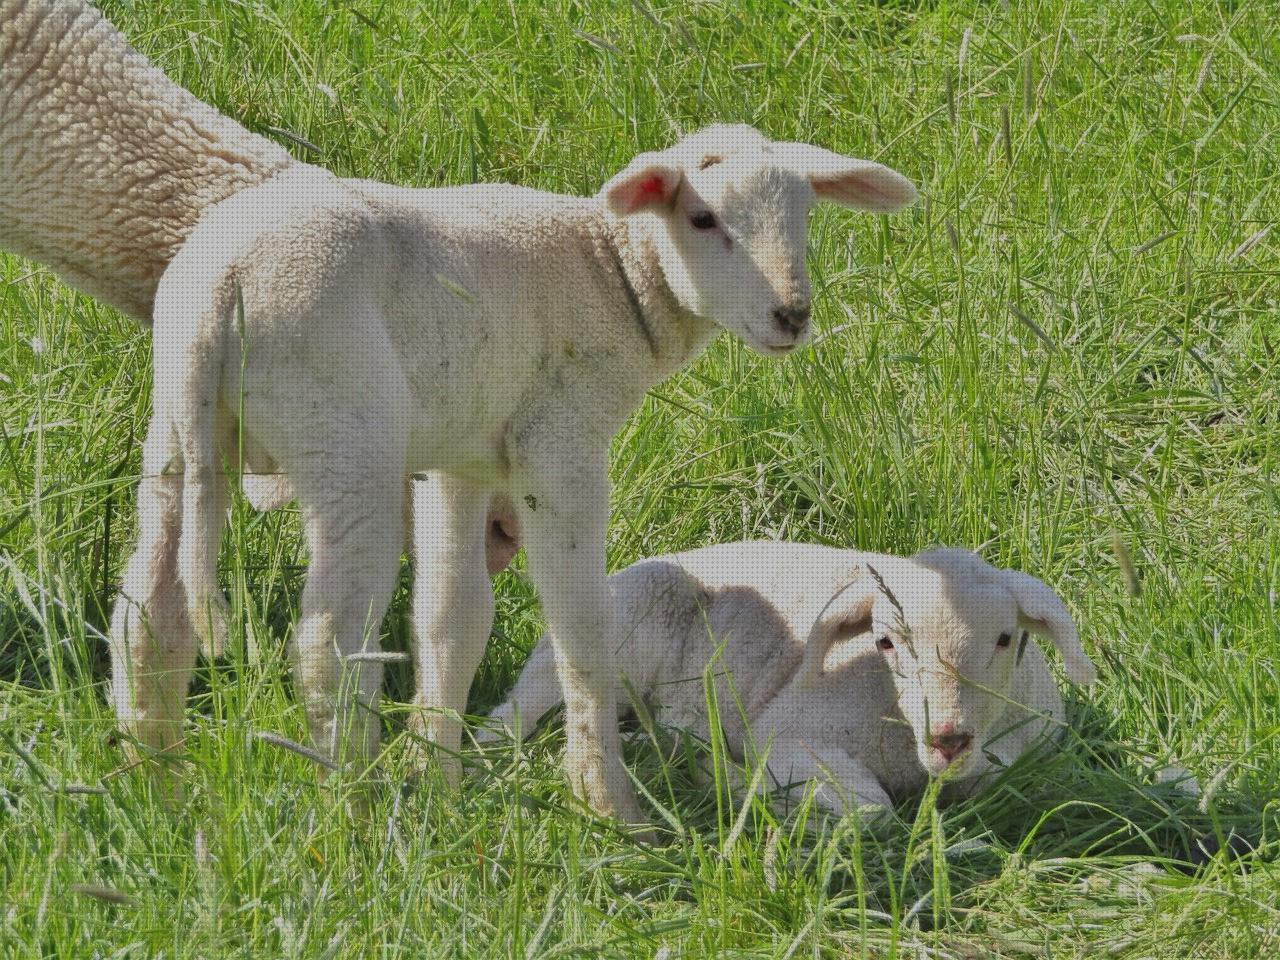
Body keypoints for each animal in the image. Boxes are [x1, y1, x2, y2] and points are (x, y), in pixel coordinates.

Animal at [483, 545, 1095, 814]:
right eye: (885, 642)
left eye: (1006, 639)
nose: (948, 738)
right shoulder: (784, 733)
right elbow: (871, 806)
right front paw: (746, 787)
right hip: (608, 633)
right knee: (516, 712)